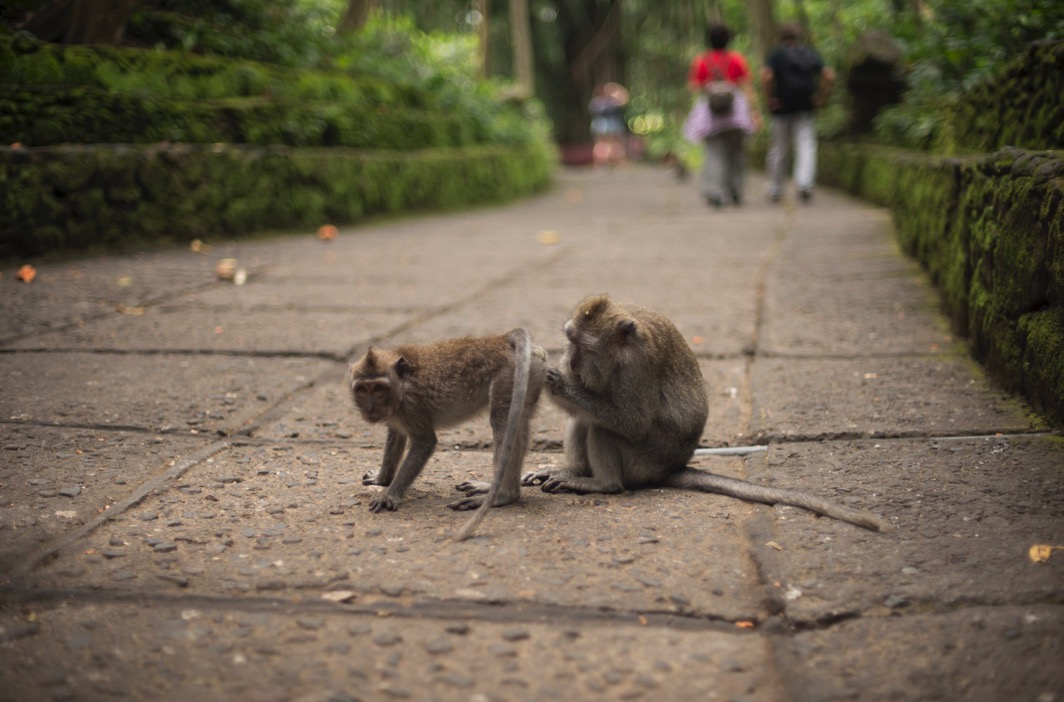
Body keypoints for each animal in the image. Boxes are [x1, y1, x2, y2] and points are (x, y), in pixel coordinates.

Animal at [351, 327, 549, 538]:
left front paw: (389, 495)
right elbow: (396, 434)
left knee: (501, 420)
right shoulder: (397, 415)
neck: (402, 385)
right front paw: (382, 479)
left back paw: (503, 495)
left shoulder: (412, 406)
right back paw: (495, 489)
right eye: (362, 389)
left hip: (508, 377)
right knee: (519, 421)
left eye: (378, 388)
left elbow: (425, 443)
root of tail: (502, 339)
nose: (370, 408)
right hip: (529, 375)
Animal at [525, 295, 889, 531]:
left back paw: (602, 484)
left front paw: (558, 383)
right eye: (569, 341)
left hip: (645, 460)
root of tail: (672, 467)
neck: (622, 346)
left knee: (603, 428)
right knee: (584, 418)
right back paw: (573, 472)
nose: (571, 362)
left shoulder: (636, 368)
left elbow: (632, 422)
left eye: (583, 347)